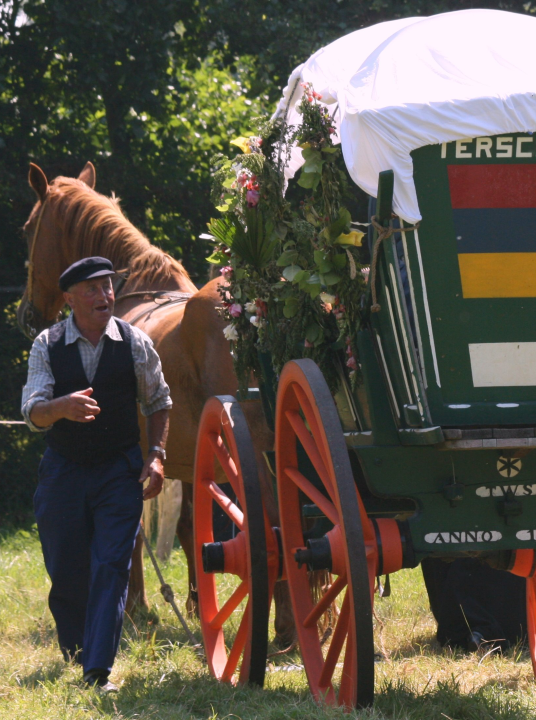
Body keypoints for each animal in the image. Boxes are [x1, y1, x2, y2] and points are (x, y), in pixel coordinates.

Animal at [17, 162, 294, 640]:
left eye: (30, 228)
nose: (28, 314)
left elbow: (128, 537)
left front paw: (134, 609)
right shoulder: (185, 458)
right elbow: (189, 527)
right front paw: (196, 602)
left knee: (275, 522)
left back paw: (286, 629)